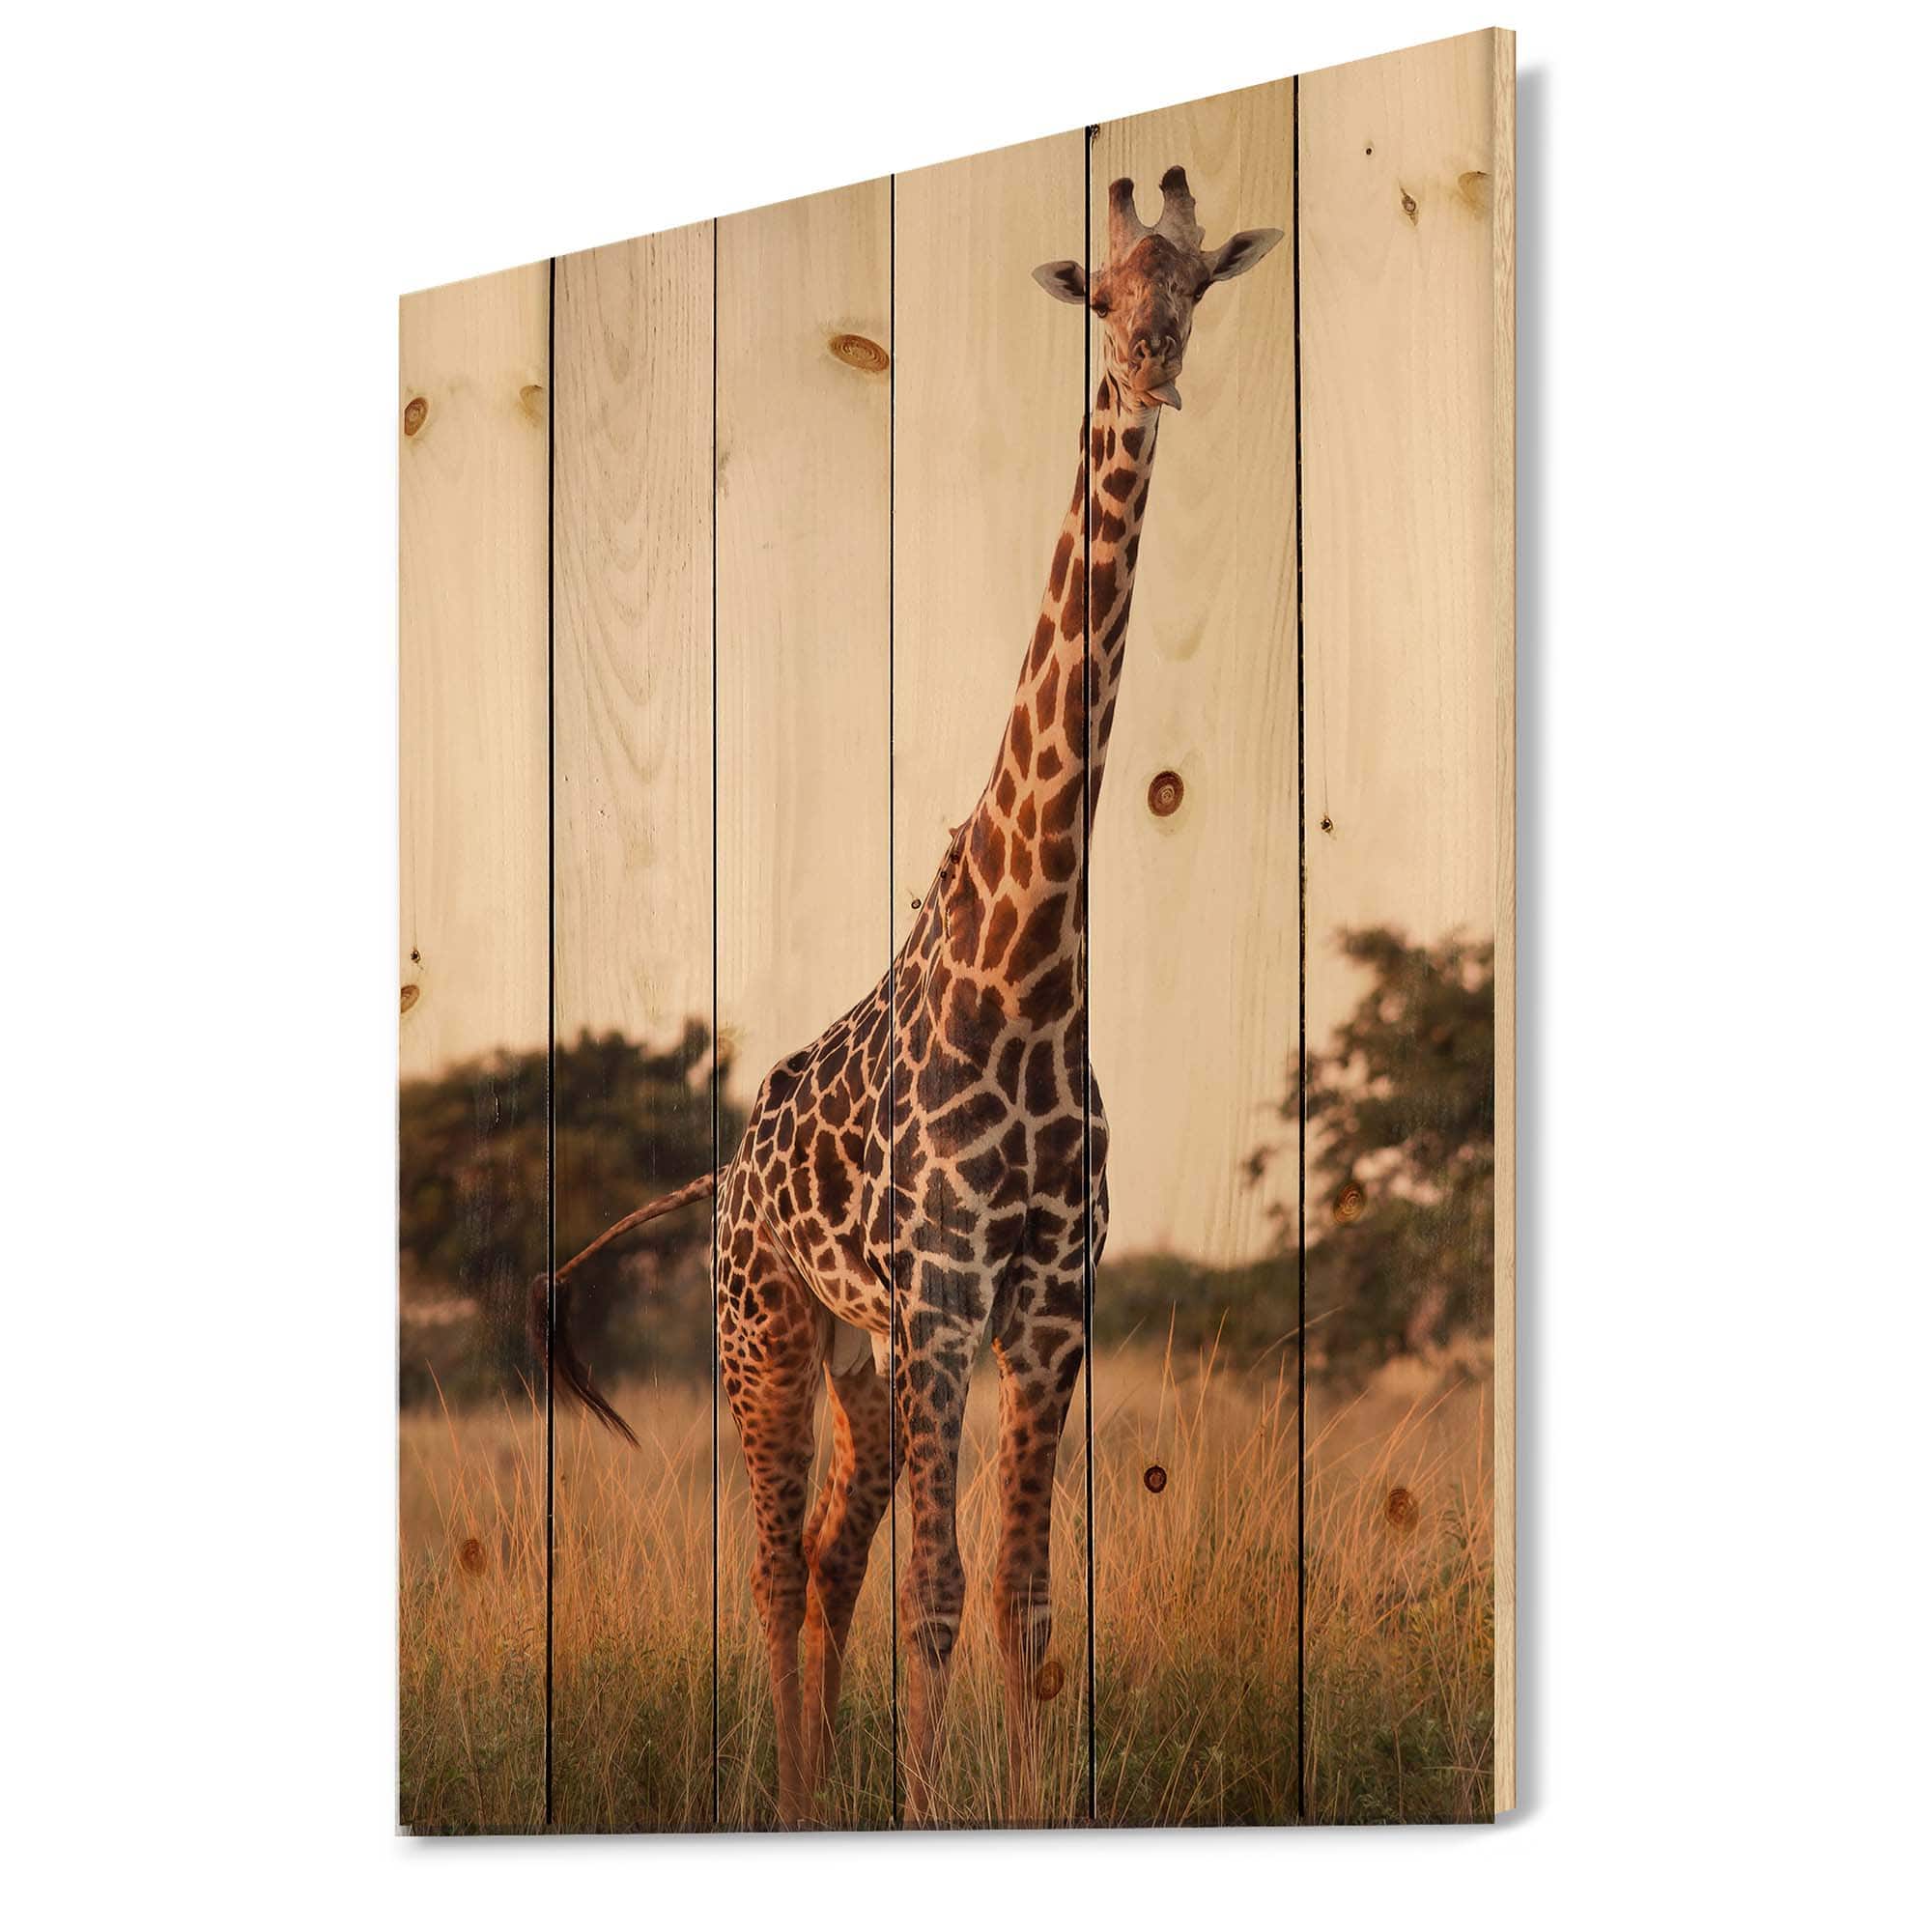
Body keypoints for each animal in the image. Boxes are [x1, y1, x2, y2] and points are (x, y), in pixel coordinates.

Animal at [542, 167, 1282, 1826]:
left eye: (1199, 284)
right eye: (1101, 293)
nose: (1151, 372)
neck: (1032, 978)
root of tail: (724, 1176)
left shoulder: (1046, 1308)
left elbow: (1023, 1602)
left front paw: (1020, 1809)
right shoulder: (947, 1300)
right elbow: (939, 1597)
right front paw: (936, 1812)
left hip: (864, 1362)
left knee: (828, 1563)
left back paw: (821, 1797)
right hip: (767, 1332)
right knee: (773, 1570)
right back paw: (793, 1801)